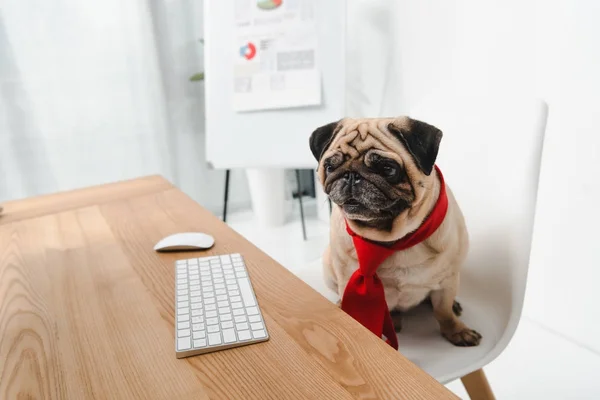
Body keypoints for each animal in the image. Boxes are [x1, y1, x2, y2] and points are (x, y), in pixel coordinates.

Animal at [310, 116, 482, 346]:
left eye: (387, 168)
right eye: (330, 166)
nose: (351, 176)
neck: (389, 239)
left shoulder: (447, 281)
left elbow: (443, 312)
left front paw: (456, 330)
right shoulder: (347, 279)